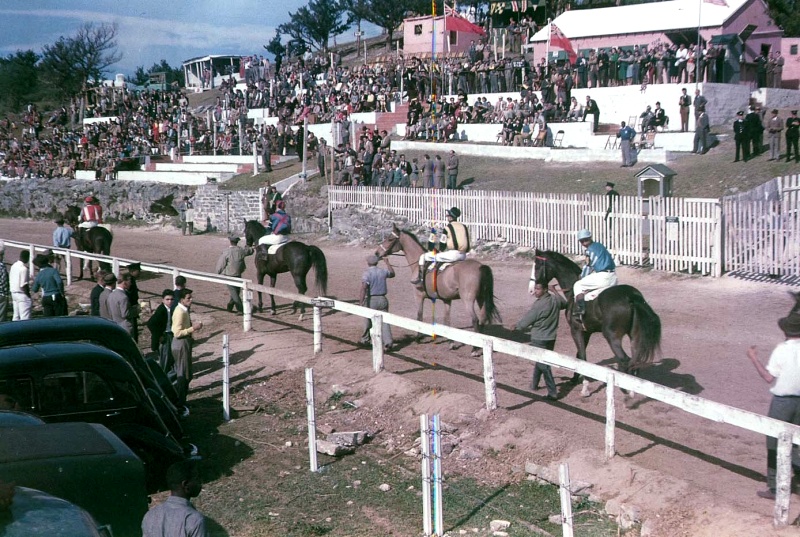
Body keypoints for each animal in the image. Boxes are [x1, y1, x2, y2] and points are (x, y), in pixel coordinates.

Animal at [376, 223, 500, 356]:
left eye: (390, 239)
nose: (377, 253)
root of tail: (481, 266)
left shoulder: (418, 295)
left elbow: (419, 315)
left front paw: (418, 338)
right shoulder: (447, 300)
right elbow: (447, 320)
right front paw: (451, 343)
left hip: (468, 300)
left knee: (475, 320)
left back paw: (475, 349)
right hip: (481, 298)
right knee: (482, 319)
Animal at [532, 249, 664, 396]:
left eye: (537, 266)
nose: (534, 286)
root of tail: (632, 297)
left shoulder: (576, 330)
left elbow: (582, 357)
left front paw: (585, 388)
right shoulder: (586, 332)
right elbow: (579, 356)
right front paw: (574, 379)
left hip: (611, 336)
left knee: (625, 359)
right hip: (635, 336)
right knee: (635, 360)